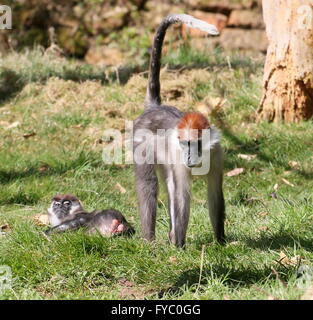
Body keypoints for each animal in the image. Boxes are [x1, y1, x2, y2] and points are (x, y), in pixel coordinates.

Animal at [132, 14, 224, 248]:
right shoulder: (178, 156)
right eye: (184, 144)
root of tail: (154, 107)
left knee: (168, 183)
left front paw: (221, 241)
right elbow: (181, 194)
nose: (189, 157)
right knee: (150, 185)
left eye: (196, 144)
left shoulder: (217, 153)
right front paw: (181, 247)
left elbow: (215, 193)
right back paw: (151, 240)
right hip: (140, 141)